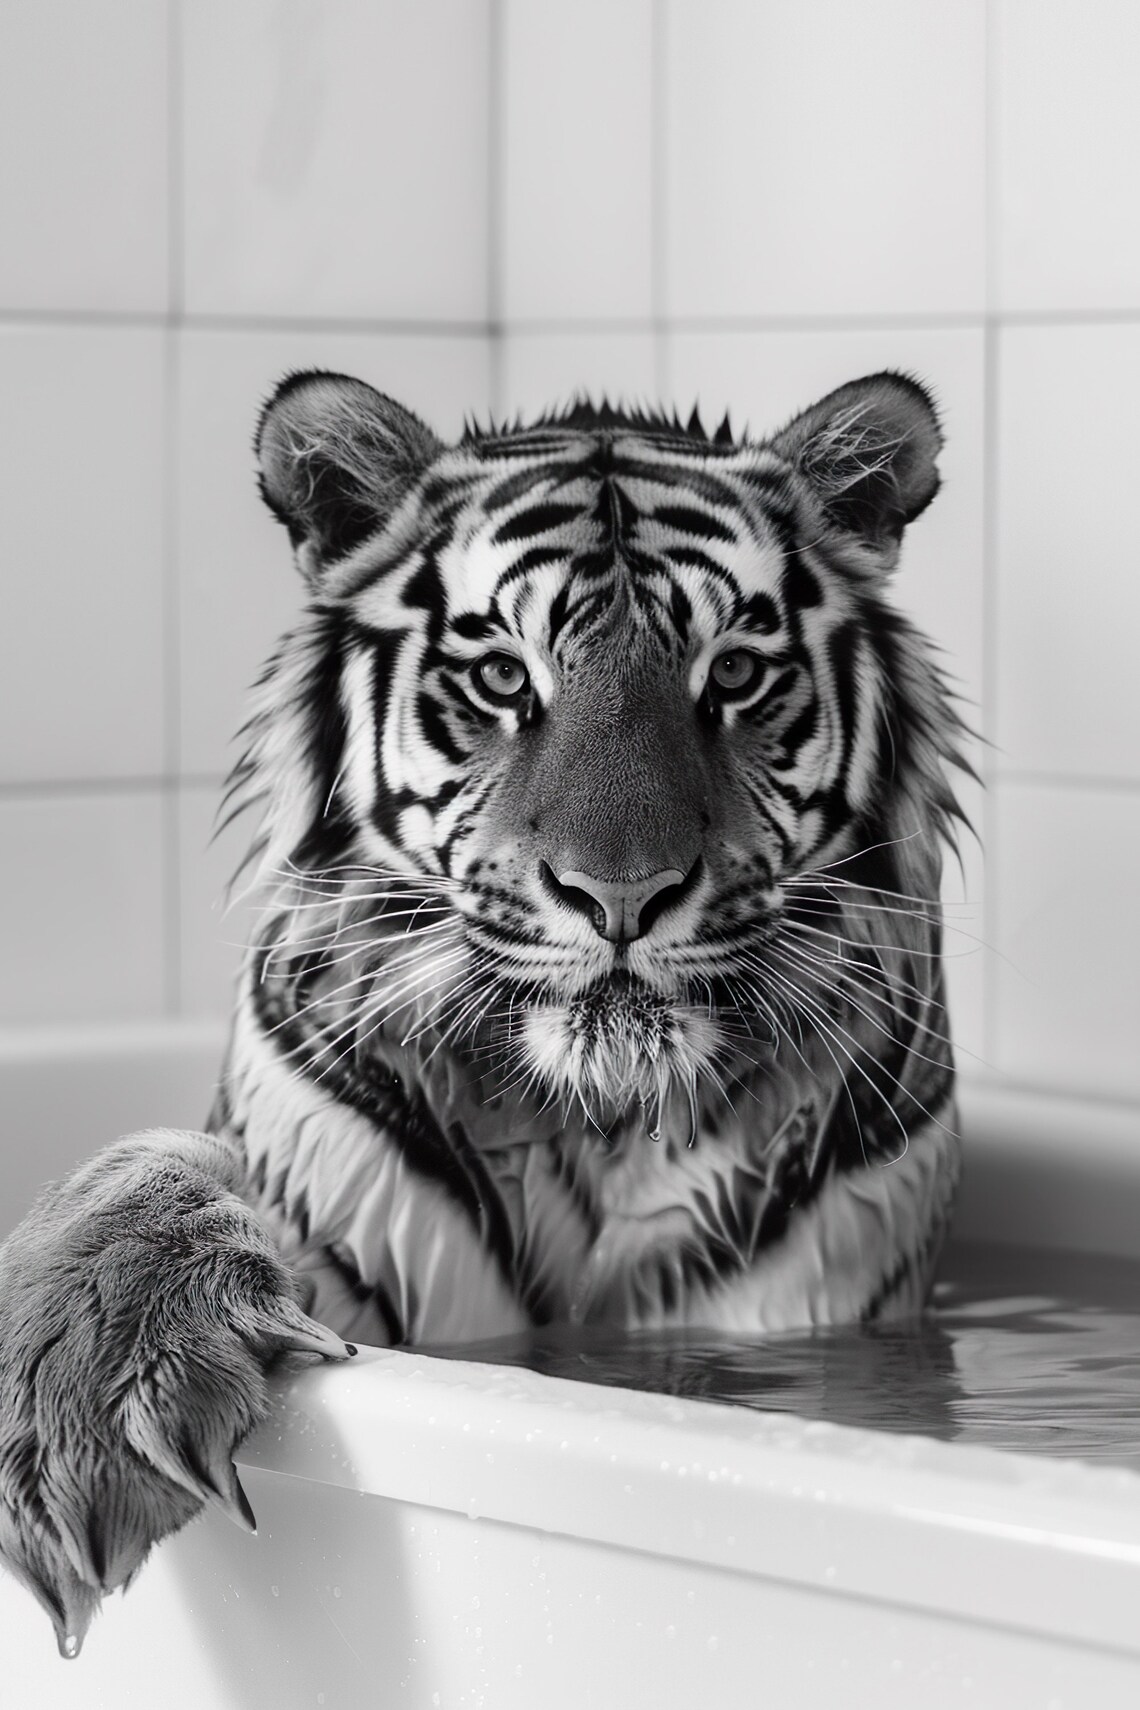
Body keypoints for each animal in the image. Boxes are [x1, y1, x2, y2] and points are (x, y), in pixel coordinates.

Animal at [0, 369, 967, 1657]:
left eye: (734, 676)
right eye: (503, 678)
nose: (623, 895)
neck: (599, 1126)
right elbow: (153, 1170)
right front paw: (84, 1411)